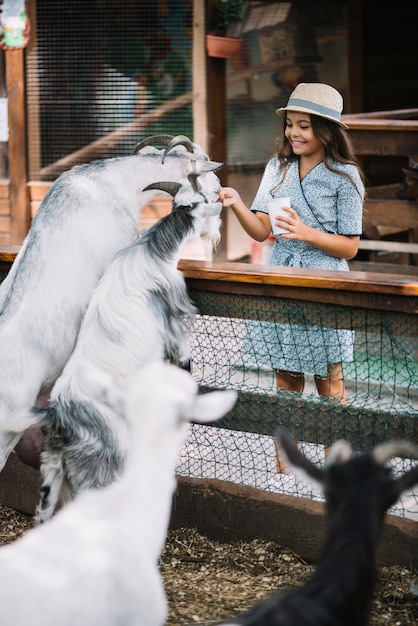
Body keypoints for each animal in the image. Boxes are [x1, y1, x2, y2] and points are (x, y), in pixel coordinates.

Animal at [24, 172, 224, 520]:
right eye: (202, 199)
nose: (221, 207)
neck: (152, 250)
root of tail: (59, 416)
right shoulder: (173, 317)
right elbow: (184, 359)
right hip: (104, 463)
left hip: (52, 467)